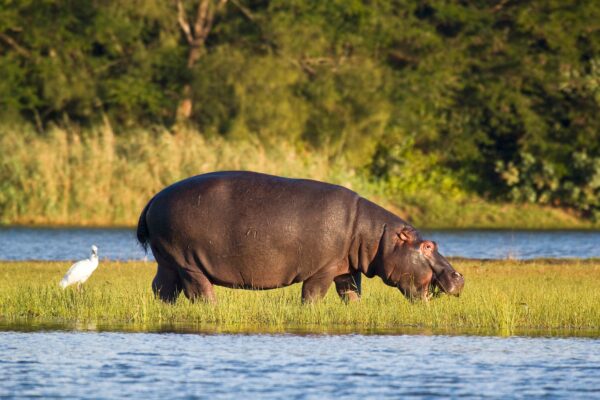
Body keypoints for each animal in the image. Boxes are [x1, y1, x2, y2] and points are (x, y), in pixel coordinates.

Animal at [137, 170, 464, 304]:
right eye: (428, 245)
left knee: (162, 289)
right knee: (199, 291)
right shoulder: (323, 269)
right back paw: (212, 308)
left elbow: (351, 295)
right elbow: (313, 295)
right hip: (187, 262)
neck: (375, 236)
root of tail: (153, 198)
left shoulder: (346, 269)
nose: (459, 276)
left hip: (167, 260)